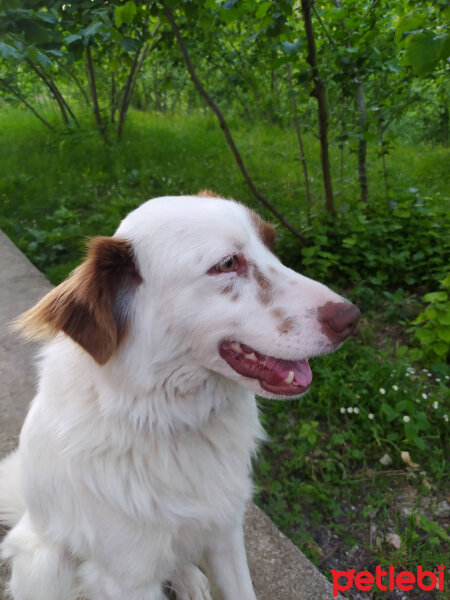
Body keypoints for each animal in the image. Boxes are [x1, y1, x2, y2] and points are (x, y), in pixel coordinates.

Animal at [0, 193, 358, 600]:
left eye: (271, 244)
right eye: (228, 264)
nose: (352, 318)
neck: (173, 419)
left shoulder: (226, 532)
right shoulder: (127, 578)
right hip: (46, 560)